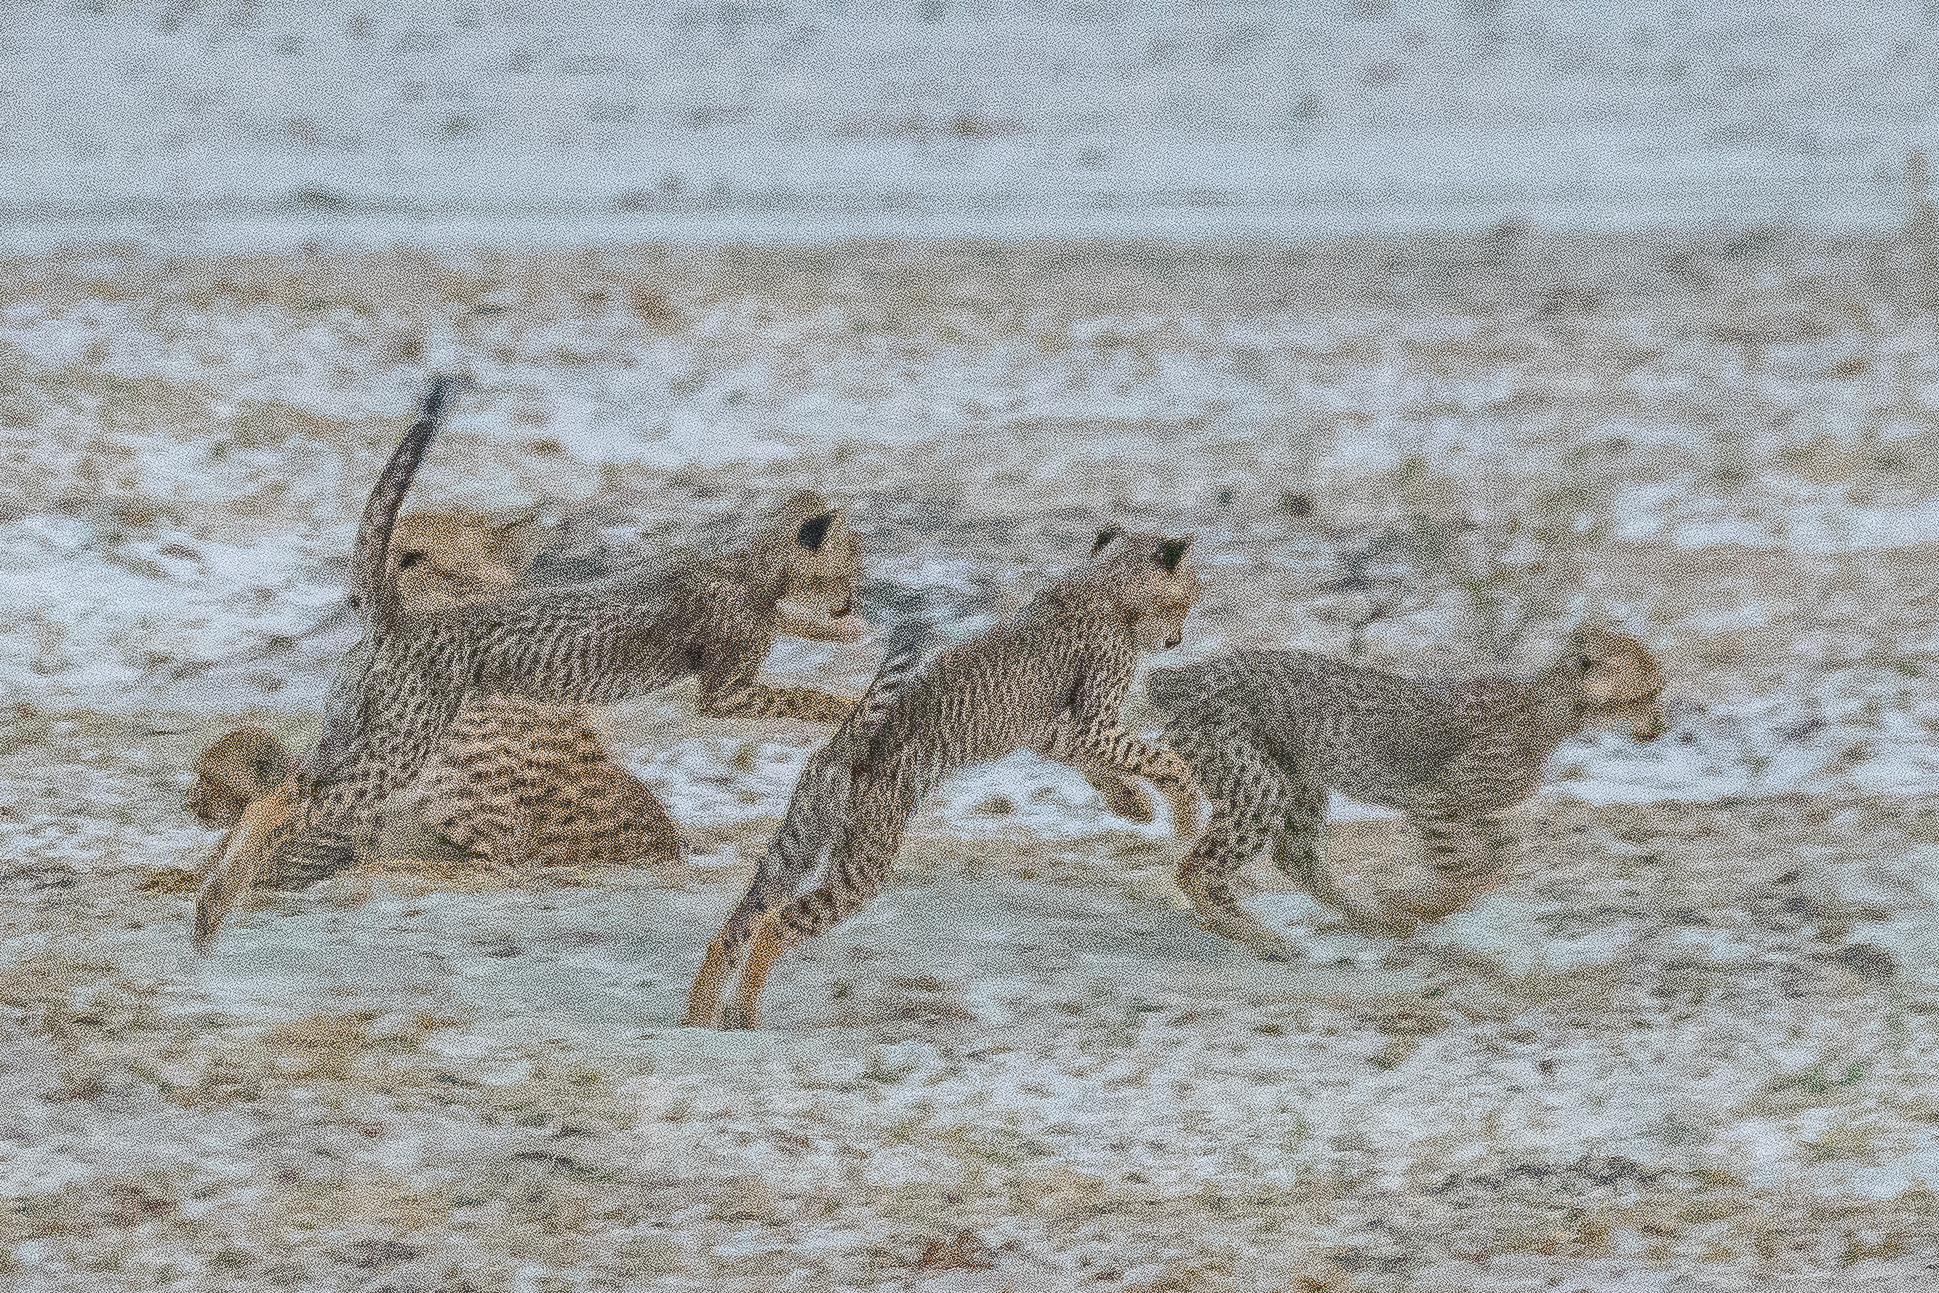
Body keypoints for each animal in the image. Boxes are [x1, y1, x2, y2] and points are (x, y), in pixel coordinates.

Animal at [190, 379, 872, 946]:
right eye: (852, 561)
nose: (855, 594)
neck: (756, 558)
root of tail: (393, 615)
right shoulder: (724, 693)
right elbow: (806, 695)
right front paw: (849, 698)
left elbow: (801, 639)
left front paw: (846, 638)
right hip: (390, 754)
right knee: (292, 804)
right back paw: (219, 902)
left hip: (367, 740)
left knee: (287, 799)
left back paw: (213, 900)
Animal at [682, 527, 1194, 1031]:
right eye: (1186, 600)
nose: (1178, 638)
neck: (1106, 581)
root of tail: (846, 739)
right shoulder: (1091, 725)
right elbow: (1164, 759)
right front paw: (1185, 808)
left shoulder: (1055, 732)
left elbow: (1111, 766)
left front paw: (1134, 804)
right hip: (863, 863)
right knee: (776, 922)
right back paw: (743, 1011)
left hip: (795, 848)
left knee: (739, 923)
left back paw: (699, 1014)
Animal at [1116, 620, 1675, 957]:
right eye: (1645, 693)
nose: (1660, 727)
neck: (1555, 711)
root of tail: (1185, 673)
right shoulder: (1437, 806)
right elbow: (1465, 870)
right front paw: (1421, 907)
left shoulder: (1473, 812)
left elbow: (1498, 853)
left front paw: (1411, 910)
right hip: (1260, 786)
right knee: (1197, 870)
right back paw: (1262, 937)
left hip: (1300, 784)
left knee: (1296, 857)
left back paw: (1366, 917)